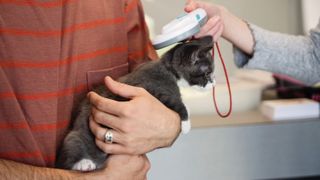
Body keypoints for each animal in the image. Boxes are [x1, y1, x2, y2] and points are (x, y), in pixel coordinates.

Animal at [56, 35, 214, 171]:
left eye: (211, 73)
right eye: (207, 74)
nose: (213, 83)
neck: (169, 70)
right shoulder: (152, 88)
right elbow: (176, 102)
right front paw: (186, 124)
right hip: (75, 136)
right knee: (71, 151)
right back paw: (83, 163)